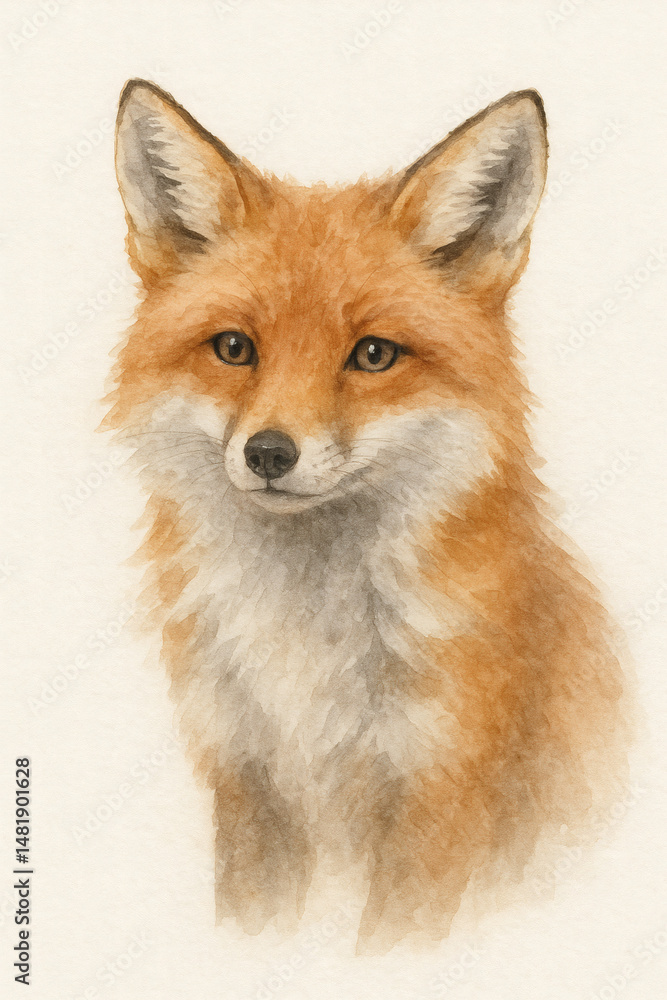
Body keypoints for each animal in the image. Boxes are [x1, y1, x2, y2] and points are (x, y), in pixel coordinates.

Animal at [107, 80, 631, 951]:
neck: (302, 639)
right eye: (234, 348)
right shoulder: (249, 786)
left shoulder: (436, 797)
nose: (268, 453)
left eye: (373, 355)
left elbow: (393, 947)